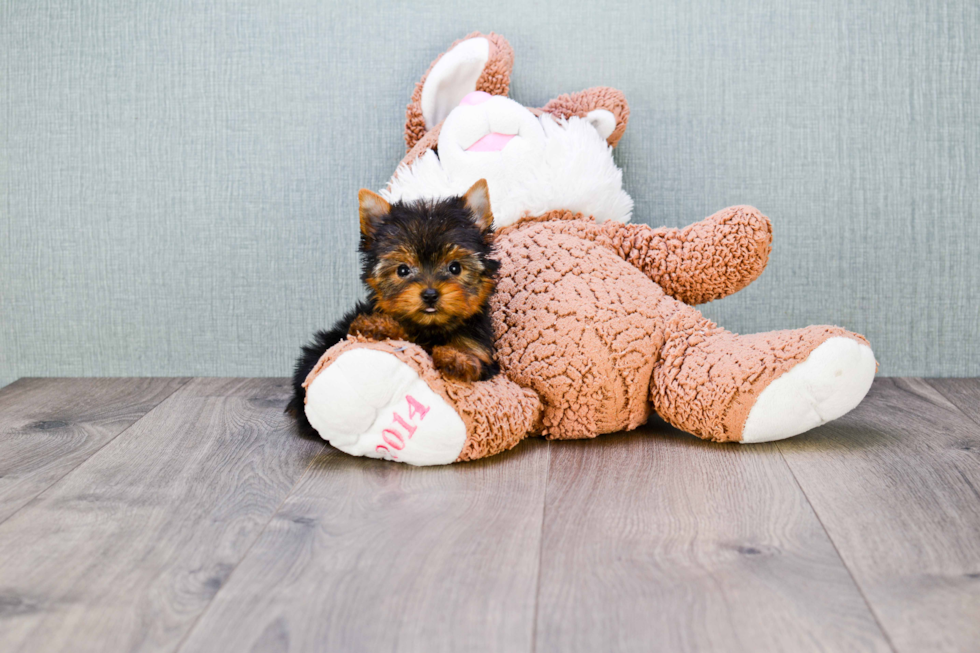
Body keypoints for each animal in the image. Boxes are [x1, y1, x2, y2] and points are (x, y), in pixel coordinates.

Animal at [284, 180, 498, 432]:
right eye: (403, 270)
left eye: (455, 268)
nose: (430, 294)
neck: (430, 328)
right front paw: (379, 326)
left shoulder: (483, 353)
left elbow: (473, 358)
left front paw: (456, 358)